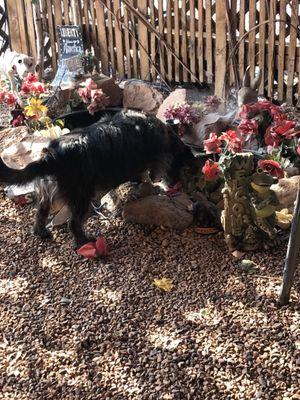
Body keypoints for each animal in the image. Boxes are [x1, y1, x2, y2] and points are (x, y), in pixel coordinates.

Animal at [0, 110, 197, 247]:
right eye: (180, 168)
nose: (177, 185)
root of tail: (51, 156)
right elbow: (146, 176)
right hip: (82, 197)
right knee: (73, 223)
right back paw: (84, 241)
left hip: (47, 194)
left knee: (40, 214)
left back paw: (40, 232)